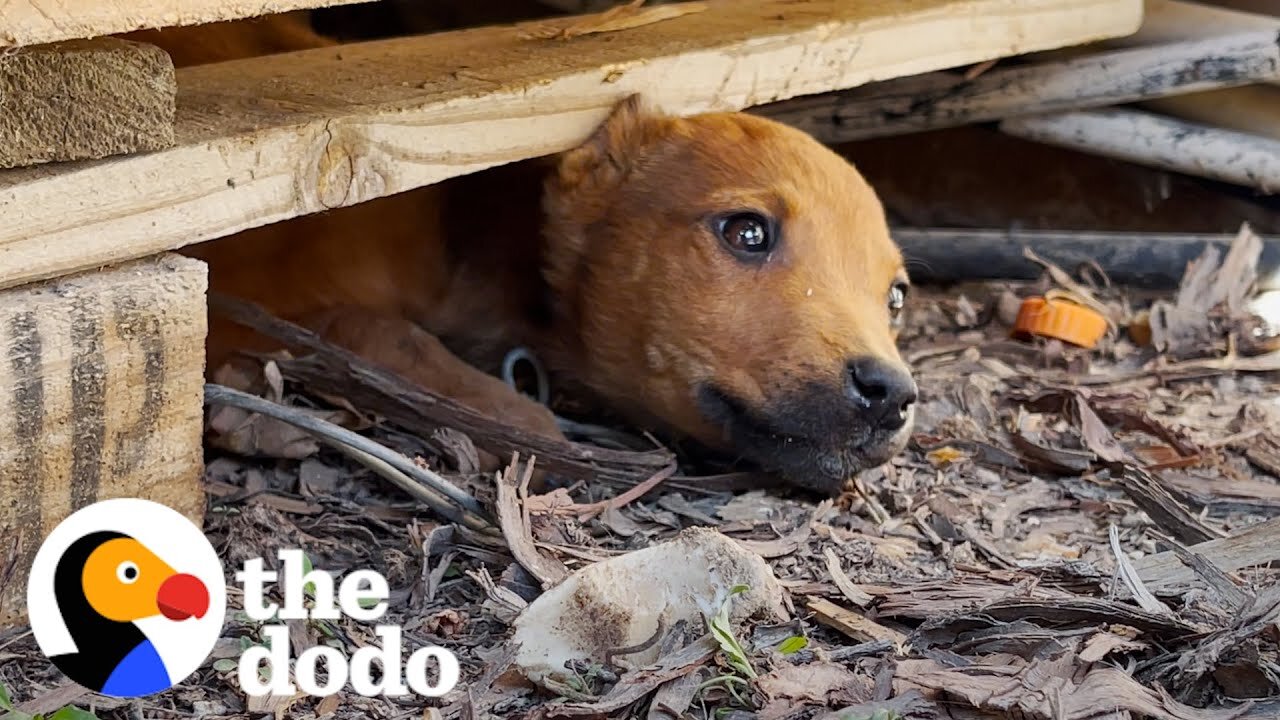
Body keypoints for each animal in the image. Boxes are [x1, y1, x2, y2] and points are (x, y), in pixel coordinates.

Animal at [122, 12, 921, 491]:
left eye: (896, 298)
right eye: (746, 232)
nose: (893, 394)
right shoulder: (237, 283)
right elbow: (372, 325)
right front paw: (505, 415)